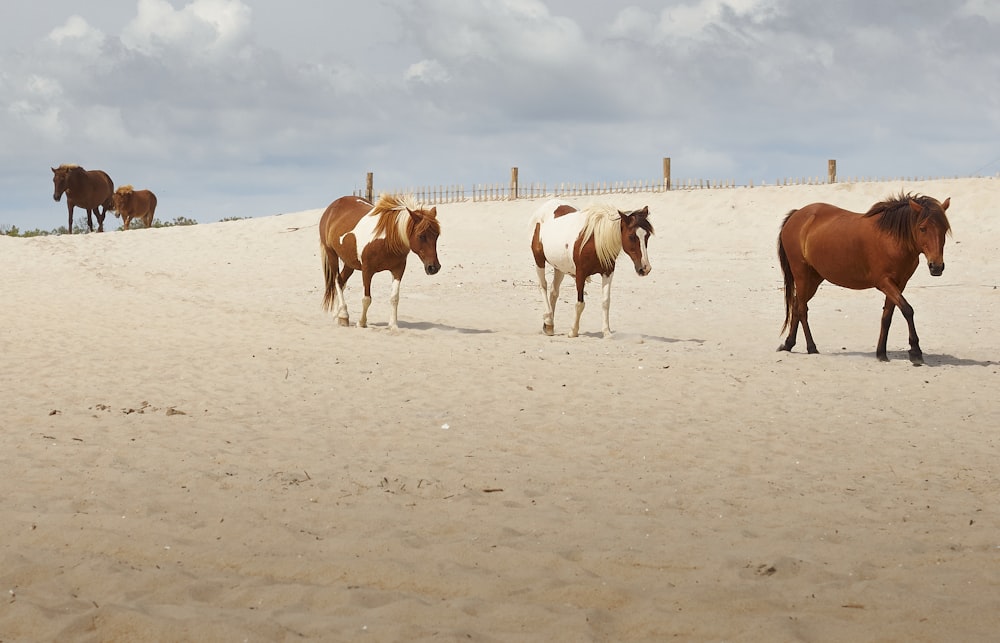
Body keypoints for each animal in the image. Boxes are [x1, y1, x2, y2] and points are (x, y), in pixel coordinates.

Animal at [320, 194, 442, 330]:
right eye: (421, 236)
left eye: (437, 235)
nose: (434, 267)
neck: (387, 239)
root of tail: (331, 208)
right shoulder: (367, 270)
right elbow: (366, 299)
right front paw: (361, 323)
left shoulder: (398, 270)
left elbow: (394, 298)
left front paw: (393, 325)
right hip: (332, 255)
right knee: (336, 281)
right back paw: (344, 315)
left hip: (349, 262)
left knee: (341, 282)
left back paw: (339, 315)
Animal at [532, 199, 656, 340]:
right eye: (631, 236)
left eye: (647, 236)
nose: (645, 268)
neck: (595, 241)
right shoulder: (580, 274)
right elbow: (580, 304)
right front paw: (573, 331)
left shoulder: (608, 273)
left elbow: (606, 302)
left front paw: (607, 332)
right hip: (539, 260)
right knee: (543, 286)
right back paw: (548, 321)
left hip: (559, 267)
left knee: (554, 292)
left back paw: (549, 326)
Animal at [772, 191, 952, 364]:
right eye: (922, 228)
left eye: (944, 229)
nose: (936, 266)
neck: (893, 239)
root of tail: (797, 215)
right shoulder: (884, 283)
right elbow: (907, 310)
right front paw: (915, 351)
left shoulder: (899, 284)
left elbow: (887, 317)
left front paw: (881, 353)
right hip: (801, 274)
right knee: (802, 309)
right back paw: (811, 347)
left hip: (814, 279)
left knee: (797, 305)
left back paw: (789, 344)